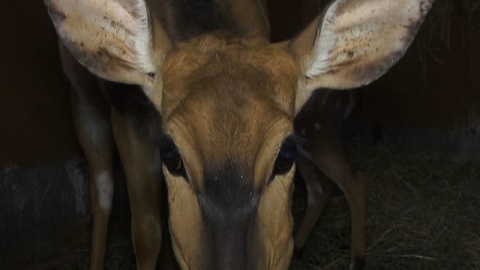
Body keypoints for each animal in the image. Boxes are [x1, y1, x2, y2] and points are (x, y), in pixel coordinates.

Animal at [45, 0, 434, 268]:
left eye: (285, 155)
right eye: (171, 155)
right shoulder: (127, 112)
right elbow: (146, 231)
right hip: (83, 100)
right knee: (103, 188)